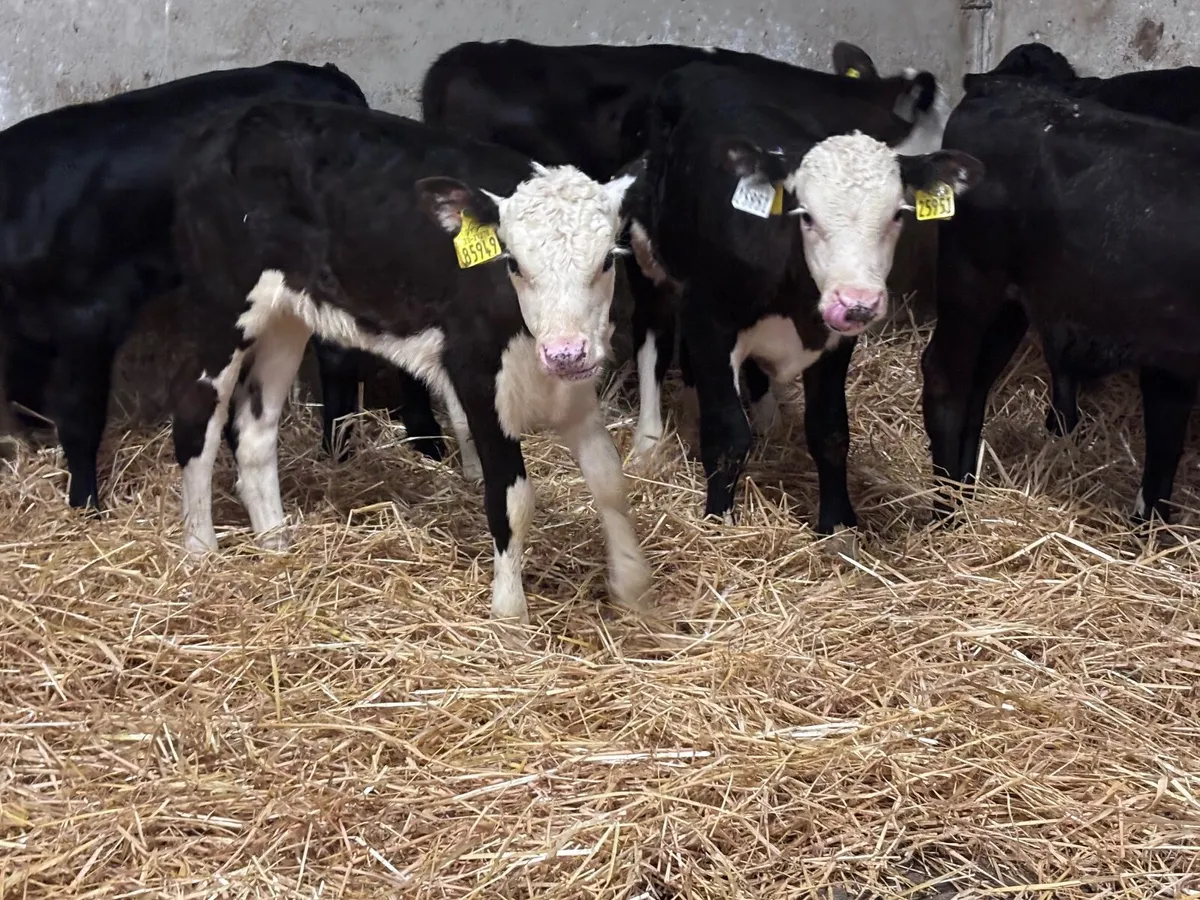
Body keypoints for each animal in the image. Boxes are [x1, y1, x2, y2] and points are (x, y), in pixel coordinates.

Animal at [0, 60, 417, 511]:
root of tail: (329, 78)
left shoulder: (89, 319)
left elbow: (79, 416)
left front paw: (86, 505)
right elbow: (24, 396)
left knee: (339, 357)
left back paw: (338, 452)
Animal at [169, 99, 650, 625]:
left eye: (607, 260)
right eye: (514, 263)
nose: (565, 352)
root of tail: (233, 119)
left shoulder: (572, 386)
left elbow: (609, 479)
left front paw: (635, 594)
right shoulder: (476, 378)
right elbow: (512, 501)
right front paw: (510, 617)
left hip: (287, 315)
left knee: (254, 432)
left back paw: (277, 546)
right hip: (221, 307)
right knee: (196, 416)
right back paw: (201, 553)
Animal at [622, 63, 982, 529]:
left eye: (897, 216)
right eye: (806, 215)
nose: (856, 301)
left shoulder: (835, 342)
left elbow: (830, 431)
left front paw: (838, 522)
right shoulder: (709, 323)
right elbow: (727, 435)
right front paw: (719, 519)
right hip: (646, 261)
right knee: (652, 344)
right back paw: (648, 440)